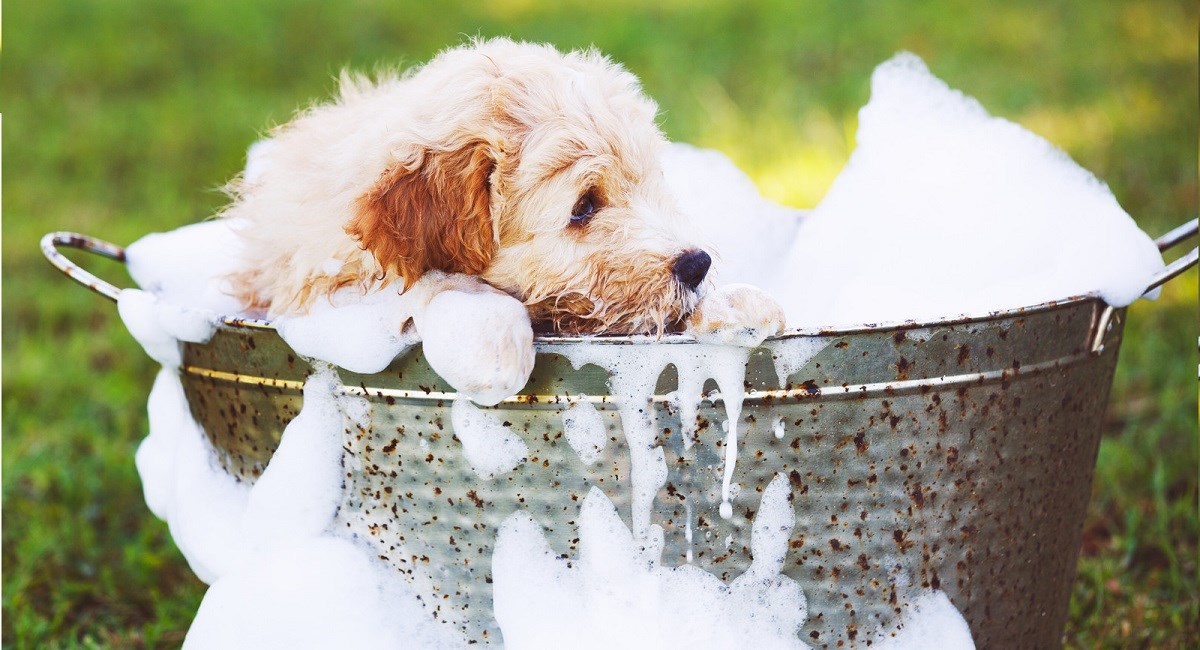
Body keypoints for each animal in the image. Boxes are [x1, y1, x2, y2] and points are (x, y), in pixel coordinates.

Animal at [224, 38, 782, 405]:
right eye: (583, 206)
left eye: (648, 183)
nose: (696, 264)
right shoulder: (321, 285)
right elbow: (434, 281)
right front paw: (490, 339)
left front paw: (735, 302)